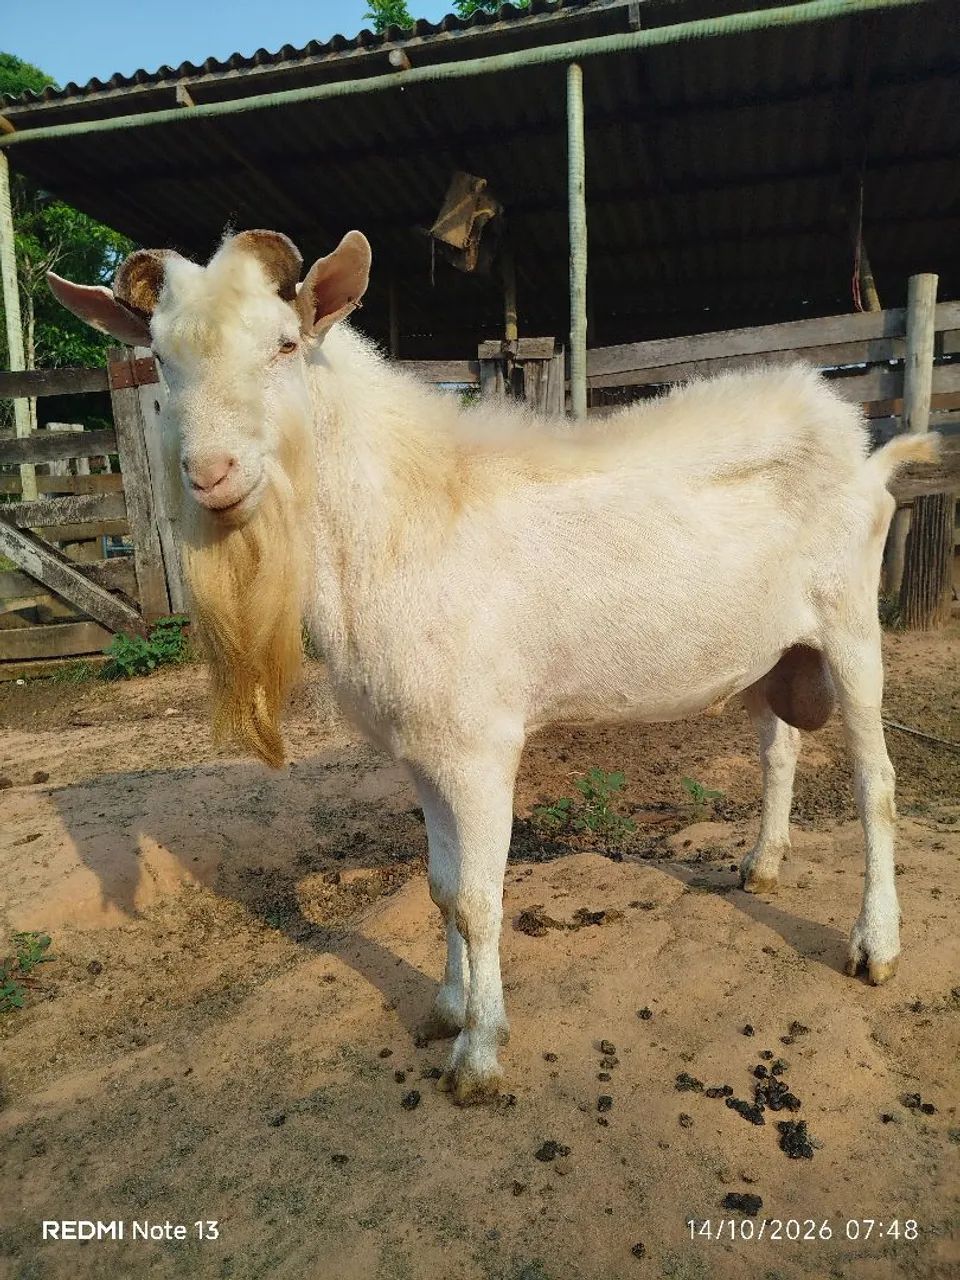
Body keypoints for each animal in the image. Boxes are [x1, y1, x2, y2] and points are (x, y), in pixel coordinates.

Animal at [49, 230, 939, 1104]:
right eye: (161, 359)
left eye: (285, 344)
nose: (212, 474)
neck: (406, 515)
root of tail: (861, 449)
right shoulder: (421, 747)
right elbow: (442, 888)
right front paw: (446, 1008)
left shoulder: (478, 748)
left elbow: (479, 900)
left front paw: (478, 1054)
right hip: (768, 652)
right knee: (778, 749)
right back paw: (762, 866)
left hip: (851, 626)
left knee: (876, 783)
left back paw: (876, 946)